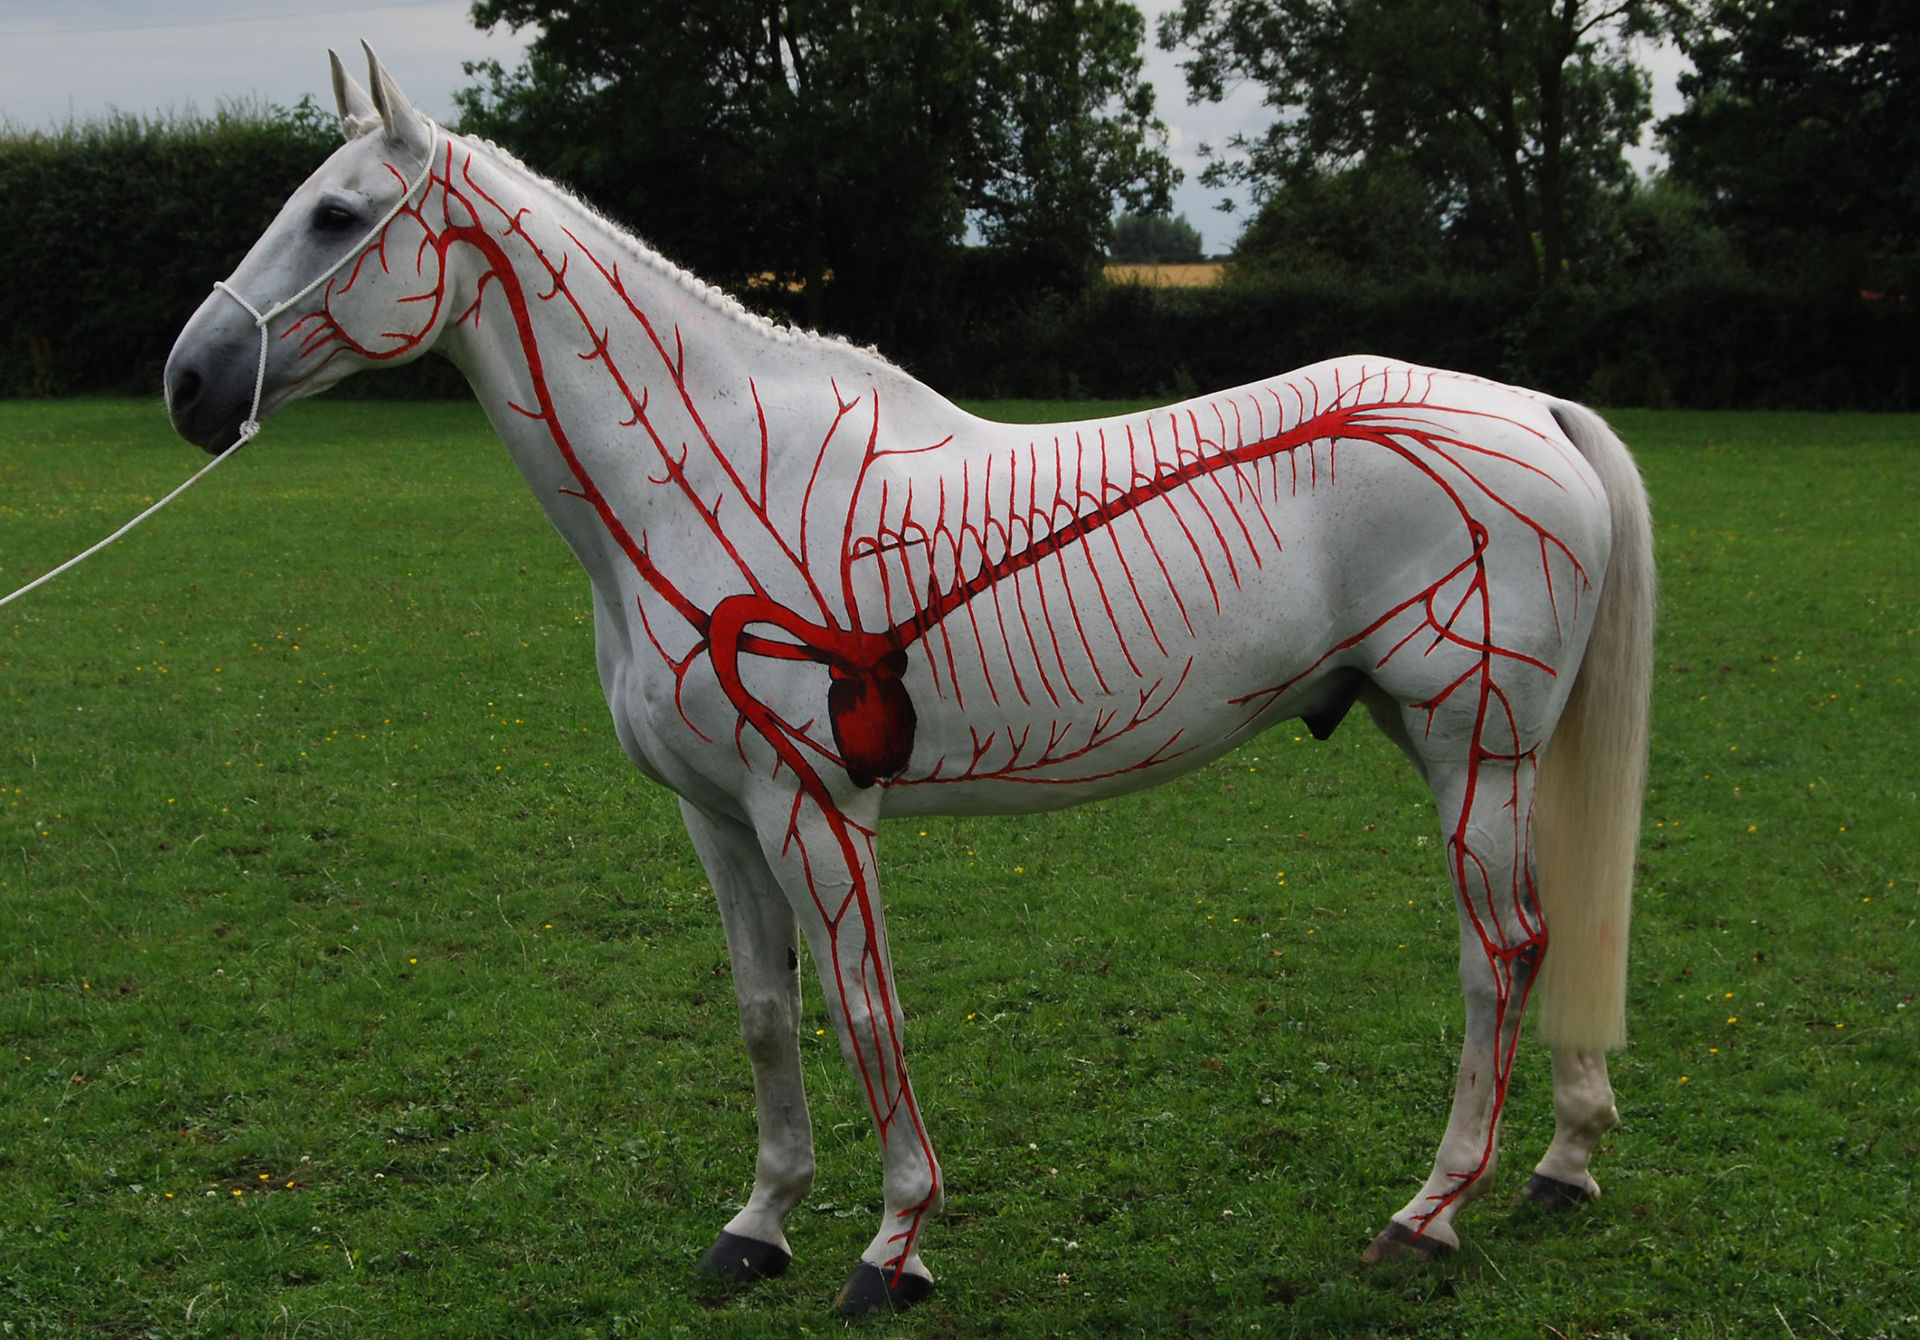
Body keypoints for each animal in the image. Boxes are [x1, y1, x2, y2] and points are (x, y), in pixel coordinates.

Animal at [163, 46, 1653, 1315]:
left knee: (1502, 950)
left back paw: (1429, 1213)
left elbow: (863, 1006)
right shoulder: (716, 814)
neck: (710, 481)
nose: (189, 383)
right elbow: (767, 1015)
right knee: (1550, 932)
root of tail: (1529, 410)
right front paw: (757, 1225)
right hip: (1454, 739)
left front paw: (892, 1244)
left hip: (1475, 742)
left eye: (337, 216)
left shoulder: (814, 805)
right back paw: (1564, 1163)